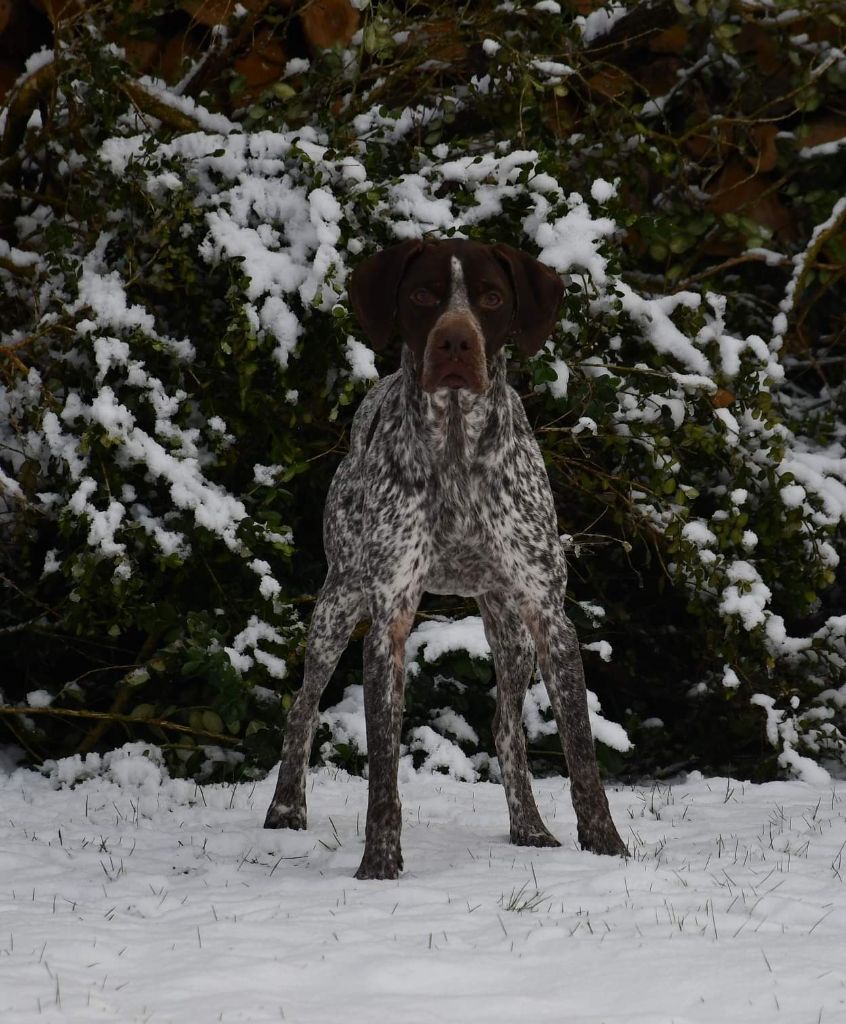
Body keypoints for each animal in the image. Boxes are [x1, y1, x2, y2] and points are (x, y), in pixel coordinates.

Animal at [264, 239, 626, 880]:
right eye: (423, 295)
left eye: (491, 298)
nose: (455, 342)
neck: (457, 444)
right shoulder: (387, 619)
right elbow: (383, 765)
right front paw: (379, 866)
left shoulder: (548, 617)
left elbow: (582, 751)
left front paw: (608, 848)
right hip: (336, 604)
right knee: (302, 707)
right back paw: (286, 809)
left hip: (510, 627)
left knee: (506, 729)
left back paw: (530, 827)